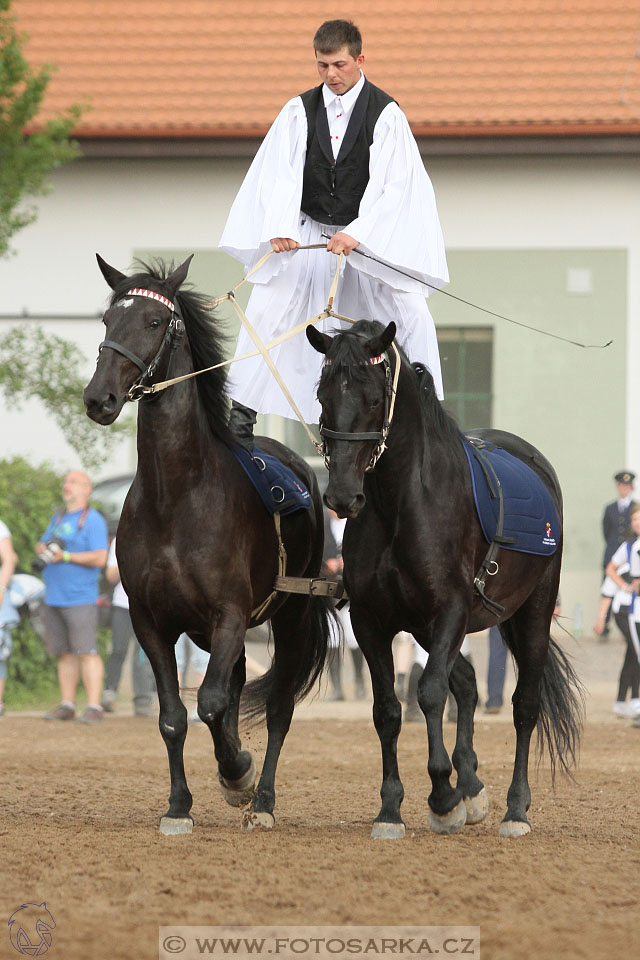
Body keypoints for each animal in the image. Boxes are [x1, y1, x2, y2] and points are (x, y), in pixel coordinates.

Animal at [83, 255, 332, 832]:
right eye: (107, 321)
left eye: (154, 321)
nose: (99, 399)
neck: (176, 497)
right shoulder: (152, 623)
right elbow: (175, 716)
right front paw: (180, 805)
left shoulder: (230, 615)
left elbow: (213, 703)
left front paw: (237, 773)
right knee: (234, 688)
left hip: (289, 618)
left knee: (278, 708)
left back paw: (261, 800)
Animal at [308, 318, 584, 836]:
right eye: (322, 394)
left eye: (373, 396)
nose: (342, 496)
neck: (402, 504)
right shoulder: (373, 622)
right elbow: (388, 708)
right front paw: (392, 808)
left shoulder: (451, 610)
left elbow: (430, 692)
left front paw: (441, 795)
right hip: (426, 626)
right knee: (470, 685)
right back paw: (472, 785)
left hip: (531, 613)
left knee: (523, 705)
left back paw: (515, 808)